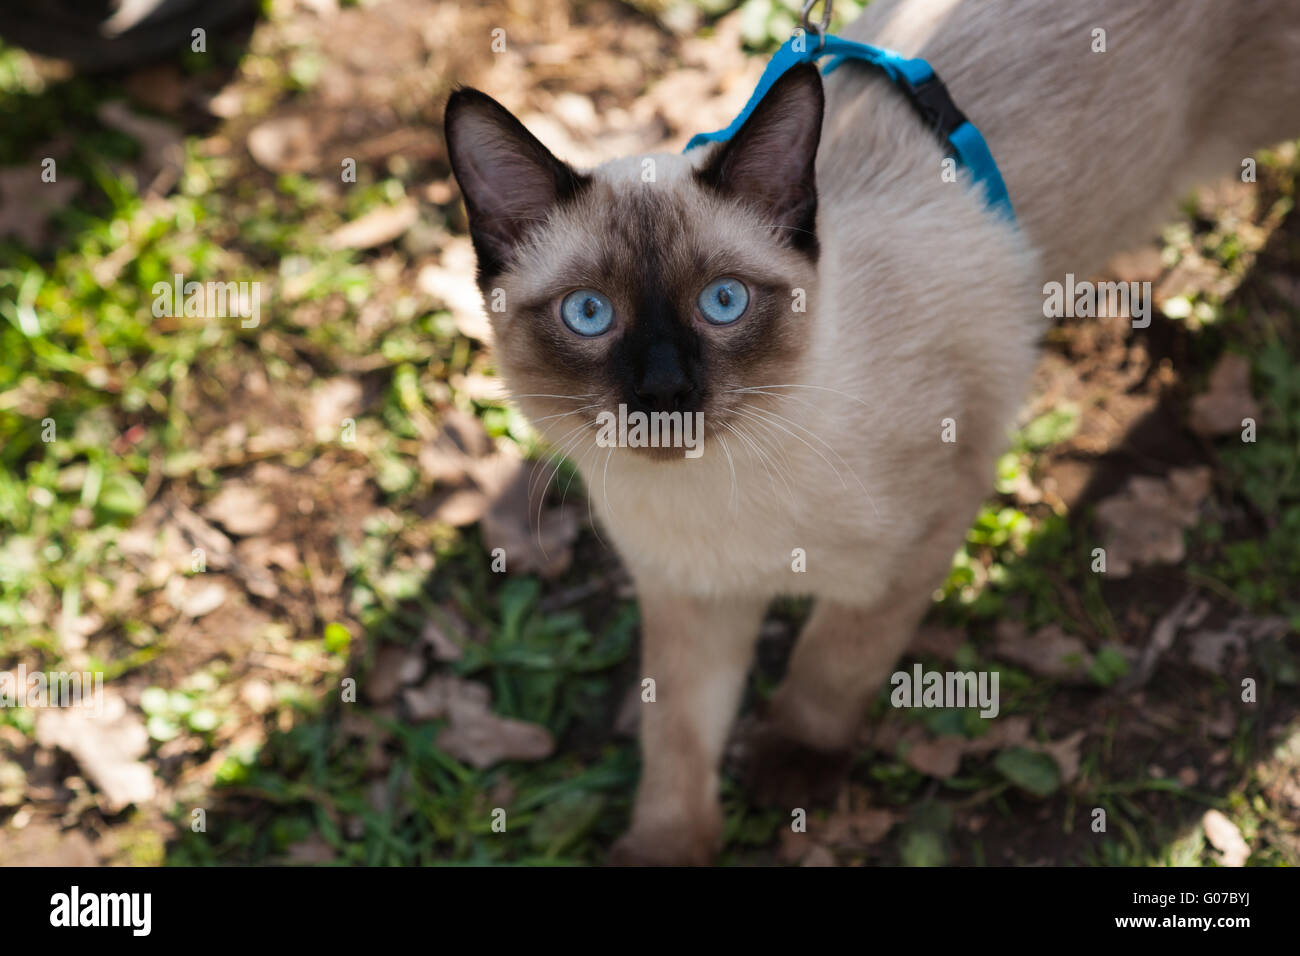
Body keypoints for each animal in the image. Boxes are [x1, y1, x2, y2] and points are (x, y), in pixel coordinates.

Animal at [444, 0, 1300, 868]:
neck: (717, 494)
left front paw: (792, 768)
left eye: (723, 302)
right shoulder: (691, 597)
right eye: (589, 314)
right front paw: (666, 848)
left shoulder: (924, 536)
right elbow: (676, 744)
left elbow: (833, 664)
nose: (664, 392)